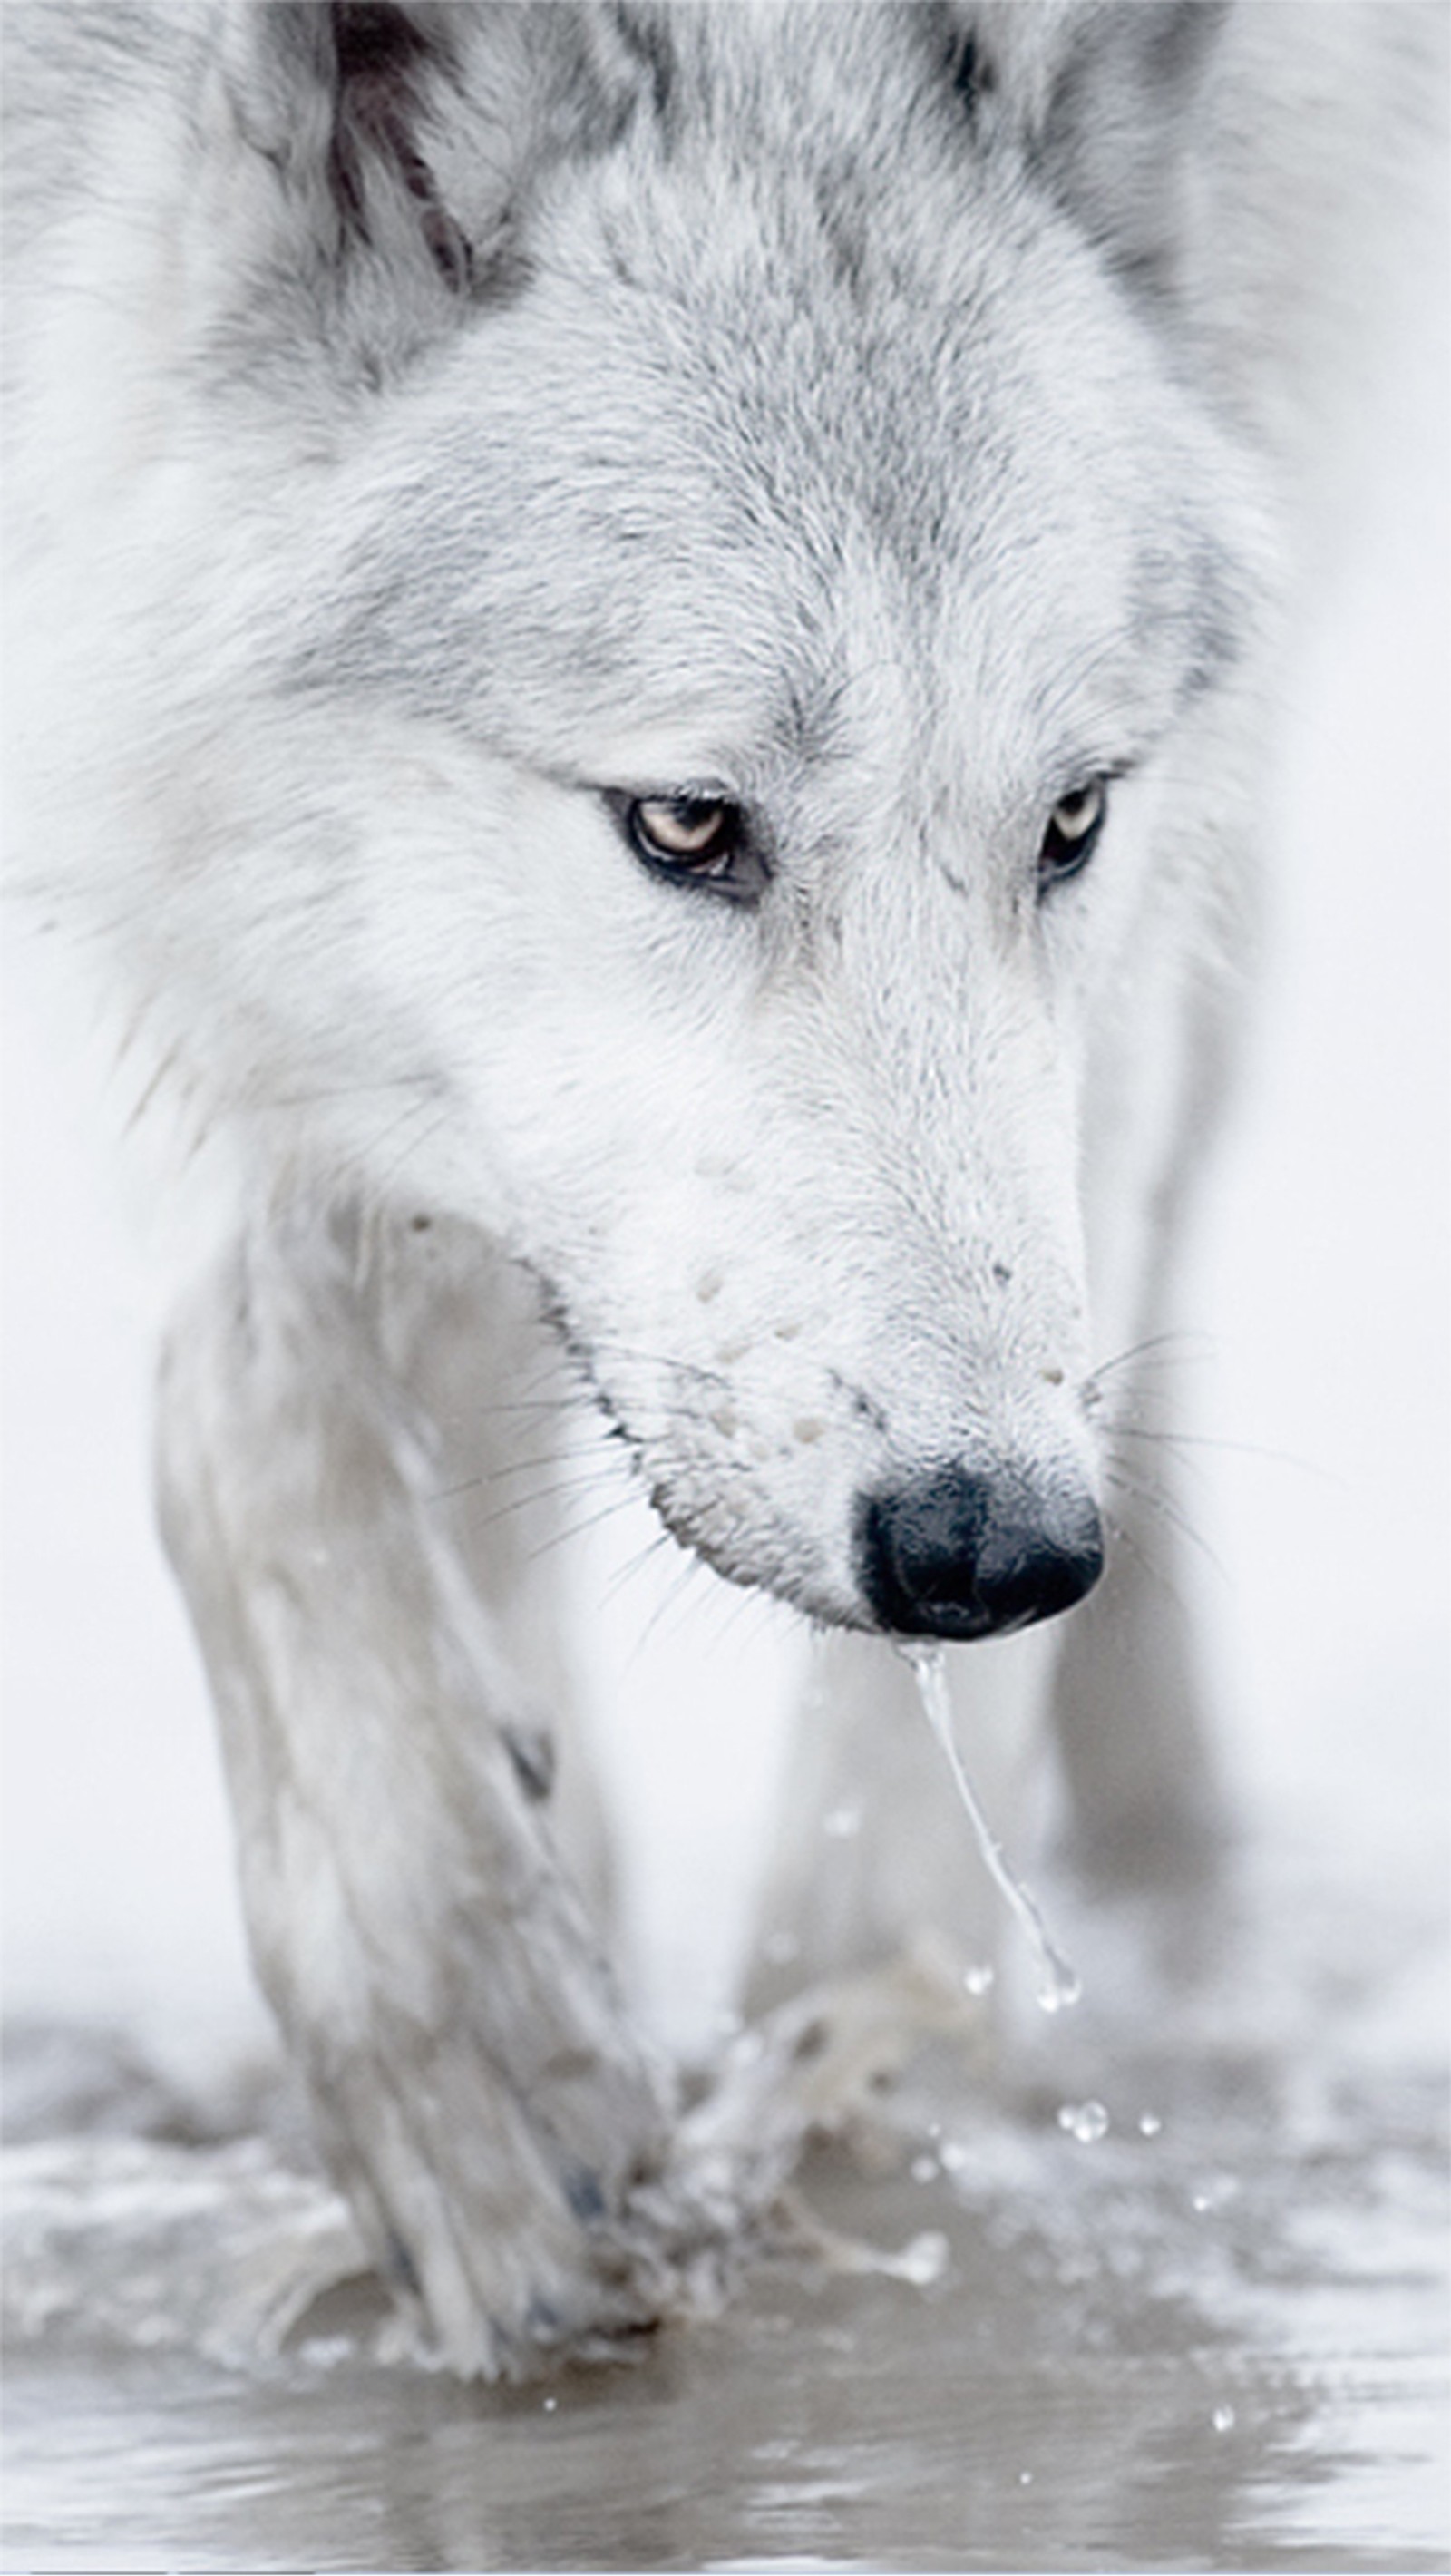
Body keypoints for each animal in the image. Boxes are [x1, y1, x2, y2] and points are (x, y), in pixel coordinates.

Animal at [5, 0, 1443, 2369]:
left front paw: (854, 2125)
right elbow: (251, 1378)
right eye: (685, 822)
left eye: (1067, 819)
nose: (994, 1543)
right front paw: (476, 2049)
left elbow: (886, 1836)